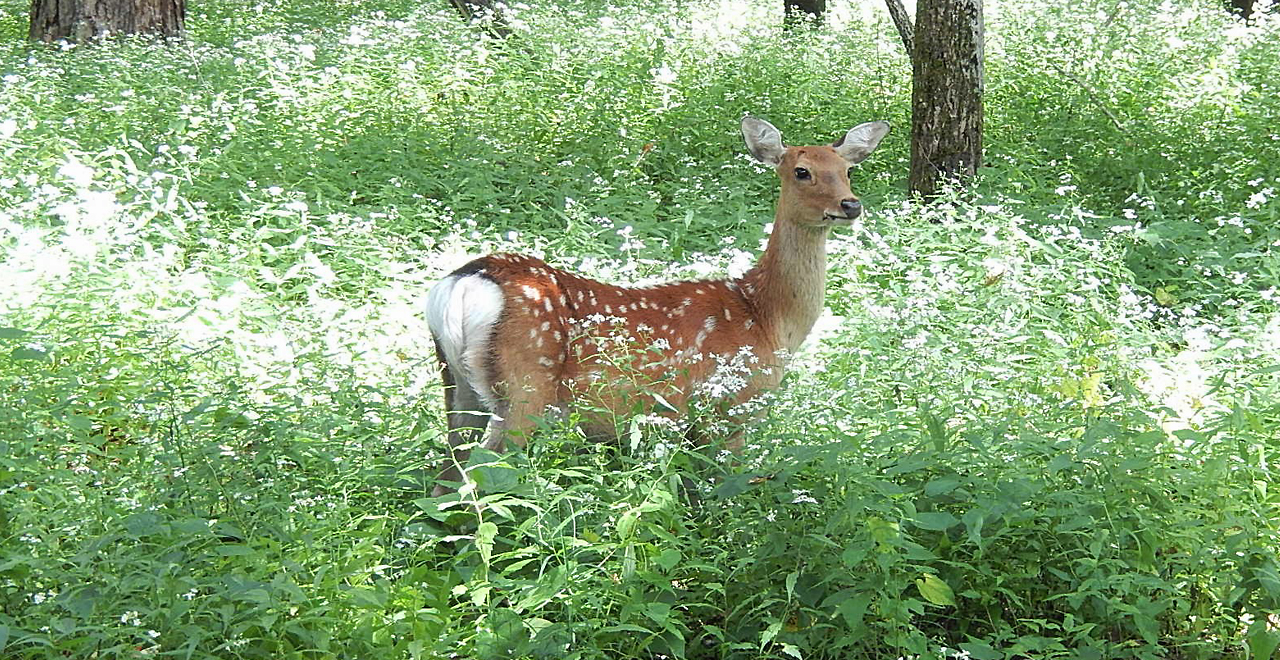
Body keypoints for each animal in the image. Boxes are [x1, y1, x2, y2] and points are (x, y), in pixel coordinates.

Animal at [430, 115, 890, 496]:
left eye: (847, 170)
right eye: (801, 171)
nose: (851, 205)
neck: (766, 317)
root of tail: (464, 283)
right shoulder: (729, 405)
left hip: (459, 388)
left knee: (445, 478)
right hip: (525, 388)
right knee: (476, 481)